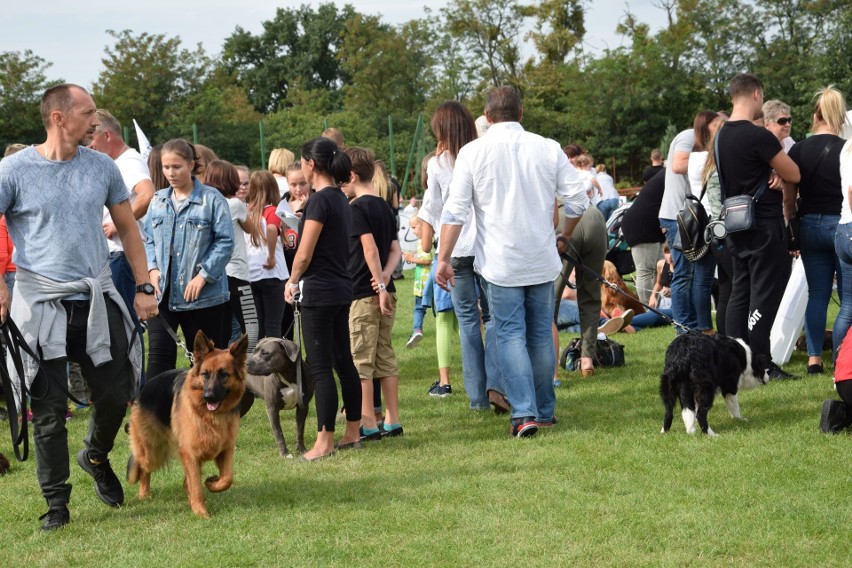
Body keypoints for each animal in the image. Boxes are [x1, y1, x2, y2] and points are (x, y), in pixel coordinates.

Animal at [125, 330, 250, 516]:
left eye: (223, 374)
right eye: (205, 374)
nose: (209, 397)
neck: (209, 415)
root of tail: (143, 389)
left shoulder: (225, 449)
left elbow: (227, 478)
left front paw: (212, 483)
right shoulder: (189, 452)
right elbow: (196, 485)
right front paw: (201, 513)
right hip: (150, 452)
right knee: (143, 468)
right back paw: (144, 494)